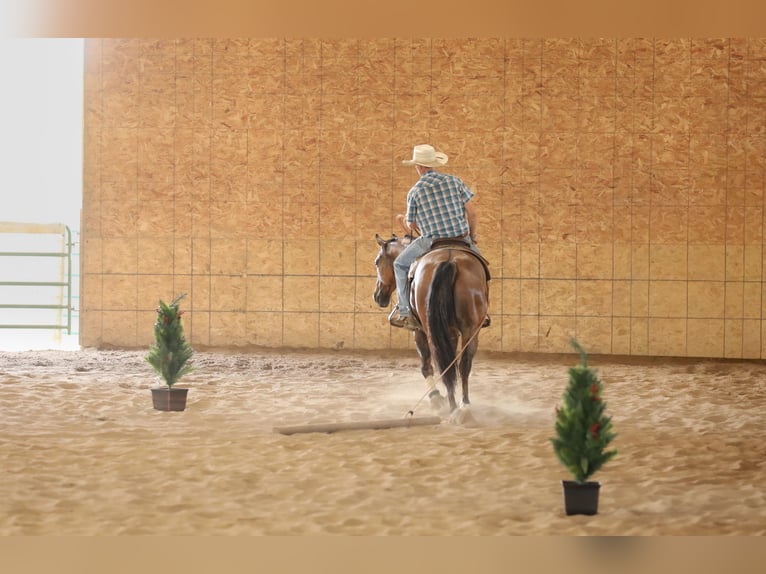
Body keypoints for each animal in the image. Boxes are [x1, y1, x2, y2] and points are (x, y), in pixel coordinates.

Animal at [373, 233, 490, 423]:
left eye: (377, 262)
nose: (377, 296)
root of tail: (449, 261)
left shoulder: (419, 330)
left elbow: (425, 365)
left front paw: (435, 398)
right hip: (469, 330)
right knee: (461, 365)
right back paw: (464, 406)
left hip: (432, 331)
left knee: (441, 363)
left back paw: (452, 407)